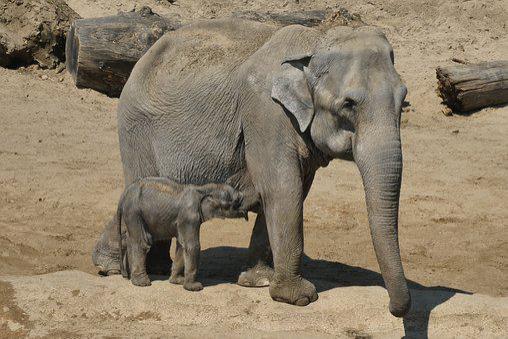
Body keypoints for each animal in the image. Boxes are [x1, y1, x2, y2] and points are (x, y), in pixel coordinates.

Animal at [117, 177, 248, 290]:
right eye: (236, 201)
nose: (246, 213)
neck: (204, 189)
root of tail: (124, 194)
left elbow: (181, 245)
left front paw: (177, 281)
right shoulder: (189, 217)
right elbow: (192, 245)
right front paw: (194, 287)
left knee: (128, 240)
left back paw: (130, 277)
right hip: (134, 212)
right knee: (141, 242)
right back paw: (142, 283)